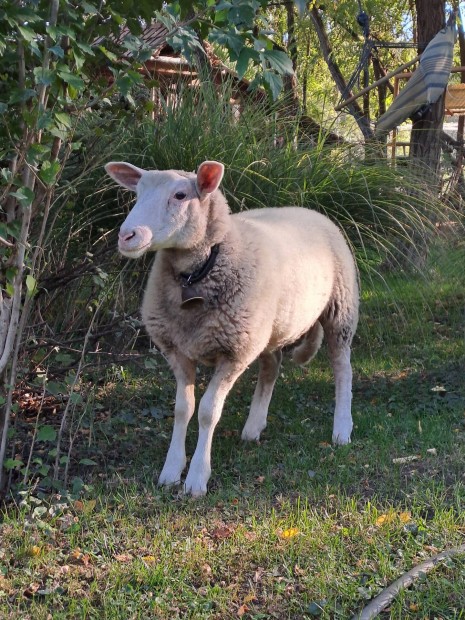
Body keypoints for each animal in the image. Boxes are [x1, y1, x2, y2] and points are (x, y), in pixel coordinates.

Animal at [106, 159, 358, 494]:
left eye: (181, 195)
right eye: (138, 193)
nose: (127, 236)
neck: (198, 273)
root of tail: (308, 210)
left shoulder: (234, 353)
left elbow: (208, 412)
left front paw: (197, 478)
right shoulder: (177, 350)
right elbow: (183, 409)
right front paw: (171, 470)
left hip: (340, 309)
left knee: (342, 368)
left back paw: (342, 429)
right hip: (266, 327)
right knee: (272, 365)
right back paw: (254, 427)